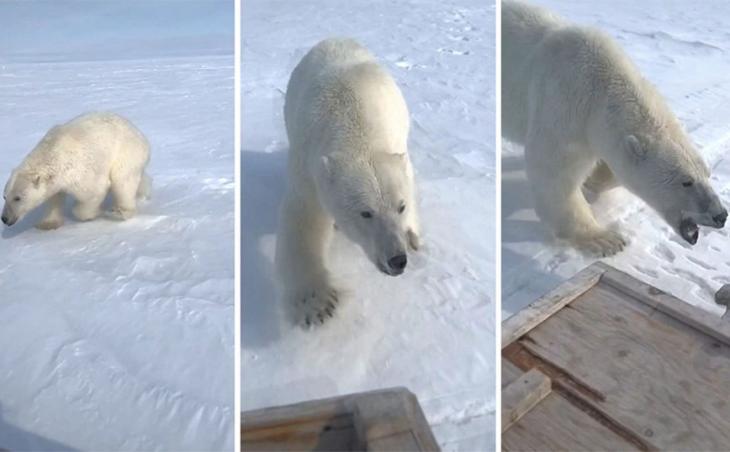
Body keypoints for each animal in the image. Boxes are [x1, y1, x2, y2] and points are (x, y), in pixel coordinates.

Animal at [1, 111, 149, 228]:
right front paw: (47, 224)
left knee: (123, 182)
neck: (52, 153)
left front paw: (92, 213)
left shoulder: (78, 170)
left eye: (18, 198)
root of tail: (141, 135)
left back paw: (119, 212)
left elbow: (94, 191)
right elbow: (54, 197)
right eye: (4, 196)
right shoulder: (56, 179)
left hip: (125, 153)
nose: (4, 218)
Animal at [274, 38, 420, 324]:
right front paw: (317, 303)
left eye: (401, 206)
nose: (397, 260)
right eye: (366, 213)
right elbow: (303, 218)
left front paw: (412, 234)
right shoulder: (309, 166)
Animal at [504, 0, 724, 256]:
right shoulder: (563, 104)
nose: (721, 215)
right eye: (686, 181)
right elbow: (554, 172)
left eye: (707, 173)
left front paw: (595, 178)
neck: (601, 84)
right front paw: (606, 240)